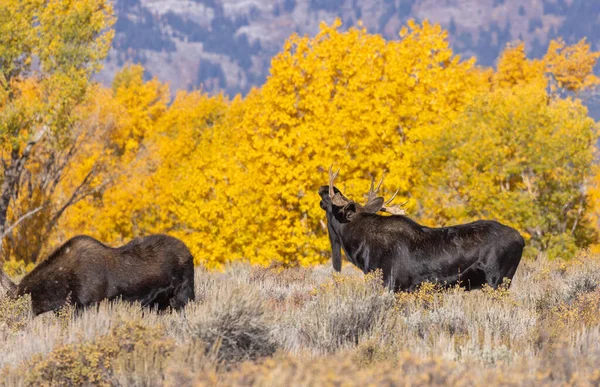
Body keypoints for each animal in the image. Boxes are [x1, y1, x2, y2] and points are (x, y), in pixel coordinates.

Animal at [318, 167, 524, 292]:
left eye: (334, 204)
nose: (323, 188)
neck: (358, 248)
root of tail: (521, 239)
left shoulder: (390, 283)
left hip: (498, 279)